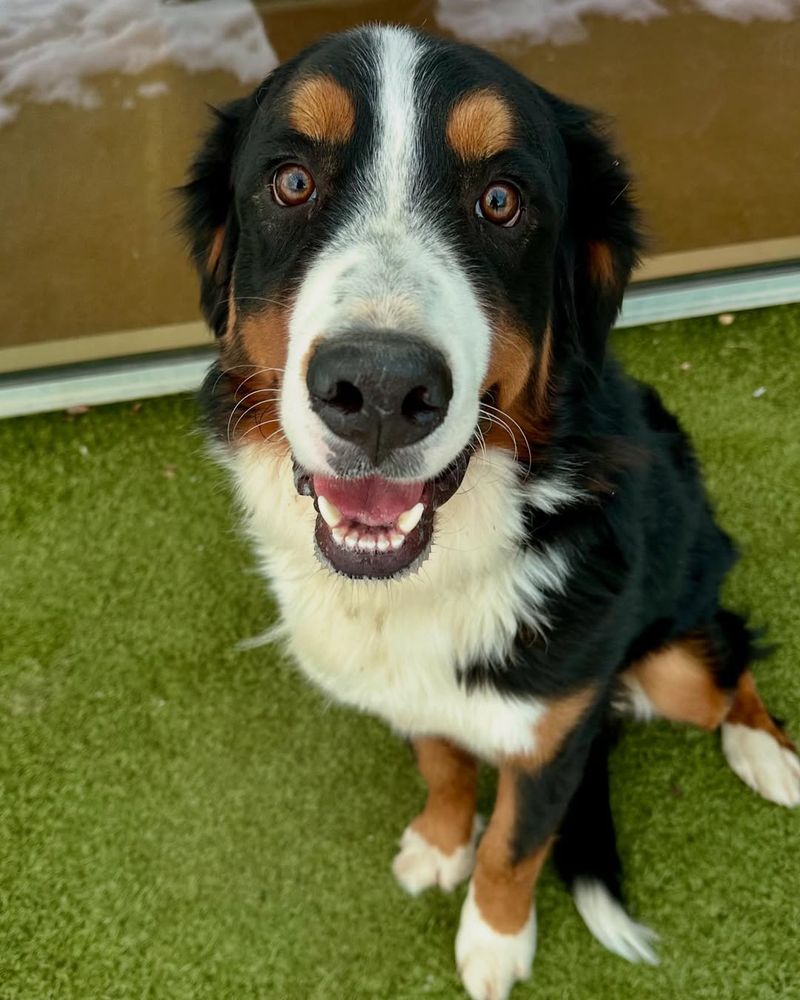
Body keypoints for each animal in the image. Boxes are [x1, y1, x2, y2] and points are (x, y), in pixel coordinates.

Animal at [181, 25, 800, 1000]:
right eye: (291, 181)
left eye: (502, 200)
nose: (380, 391)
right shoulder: (406, 690)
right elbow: (443, 762)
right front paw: (442, 843)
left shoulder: (553, 735)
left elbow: (516, 844)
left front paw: (495, 940)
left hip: (676, 656)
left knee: (728, 657)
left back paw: (764, 751)